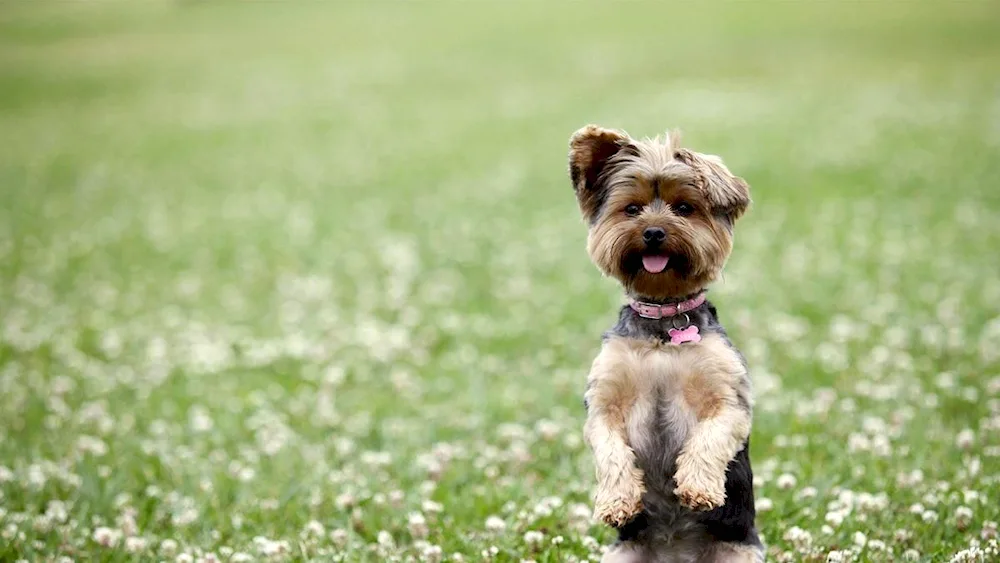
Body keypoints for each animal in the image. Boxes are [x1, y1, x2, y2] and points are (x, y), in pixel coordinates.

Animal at [568, 125, 760, 560]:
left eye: (684, 208)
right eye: (632, 209)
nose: (654, 232)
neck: (664, 323)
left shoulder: (729, 400)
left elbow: (710, 436)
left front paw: (699, 488)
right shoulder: (603, 403)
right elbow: (610, 449)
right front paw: (617, 501)